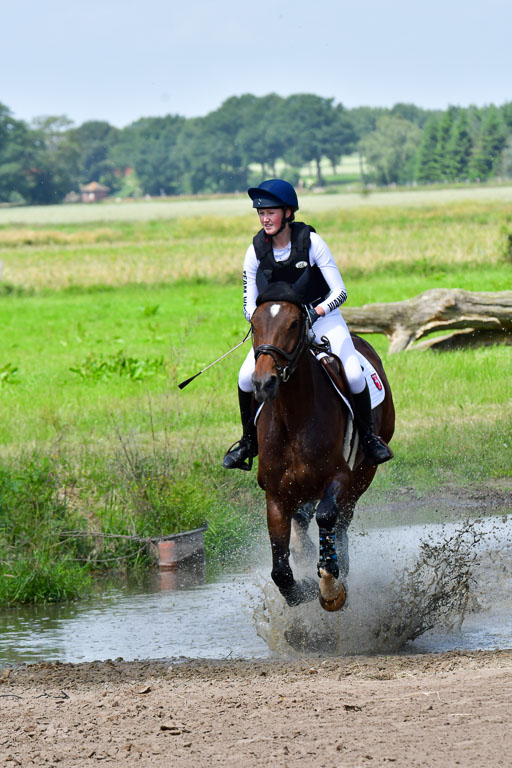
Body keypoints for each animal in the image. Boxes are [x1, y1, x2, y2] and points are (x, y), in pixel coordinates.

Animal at [250, 286, 395, 612]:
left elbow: (327, 516)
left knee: (341, 518)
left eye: (293, 324)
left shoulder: (339, 477)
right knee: (305, 522)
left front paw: (330, 587)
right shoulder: (276, 495)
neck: (293, 420)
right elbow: (281, 571)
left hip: (363, 473)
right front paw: (302, 587)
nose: (264, 383)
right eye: (253, 324)